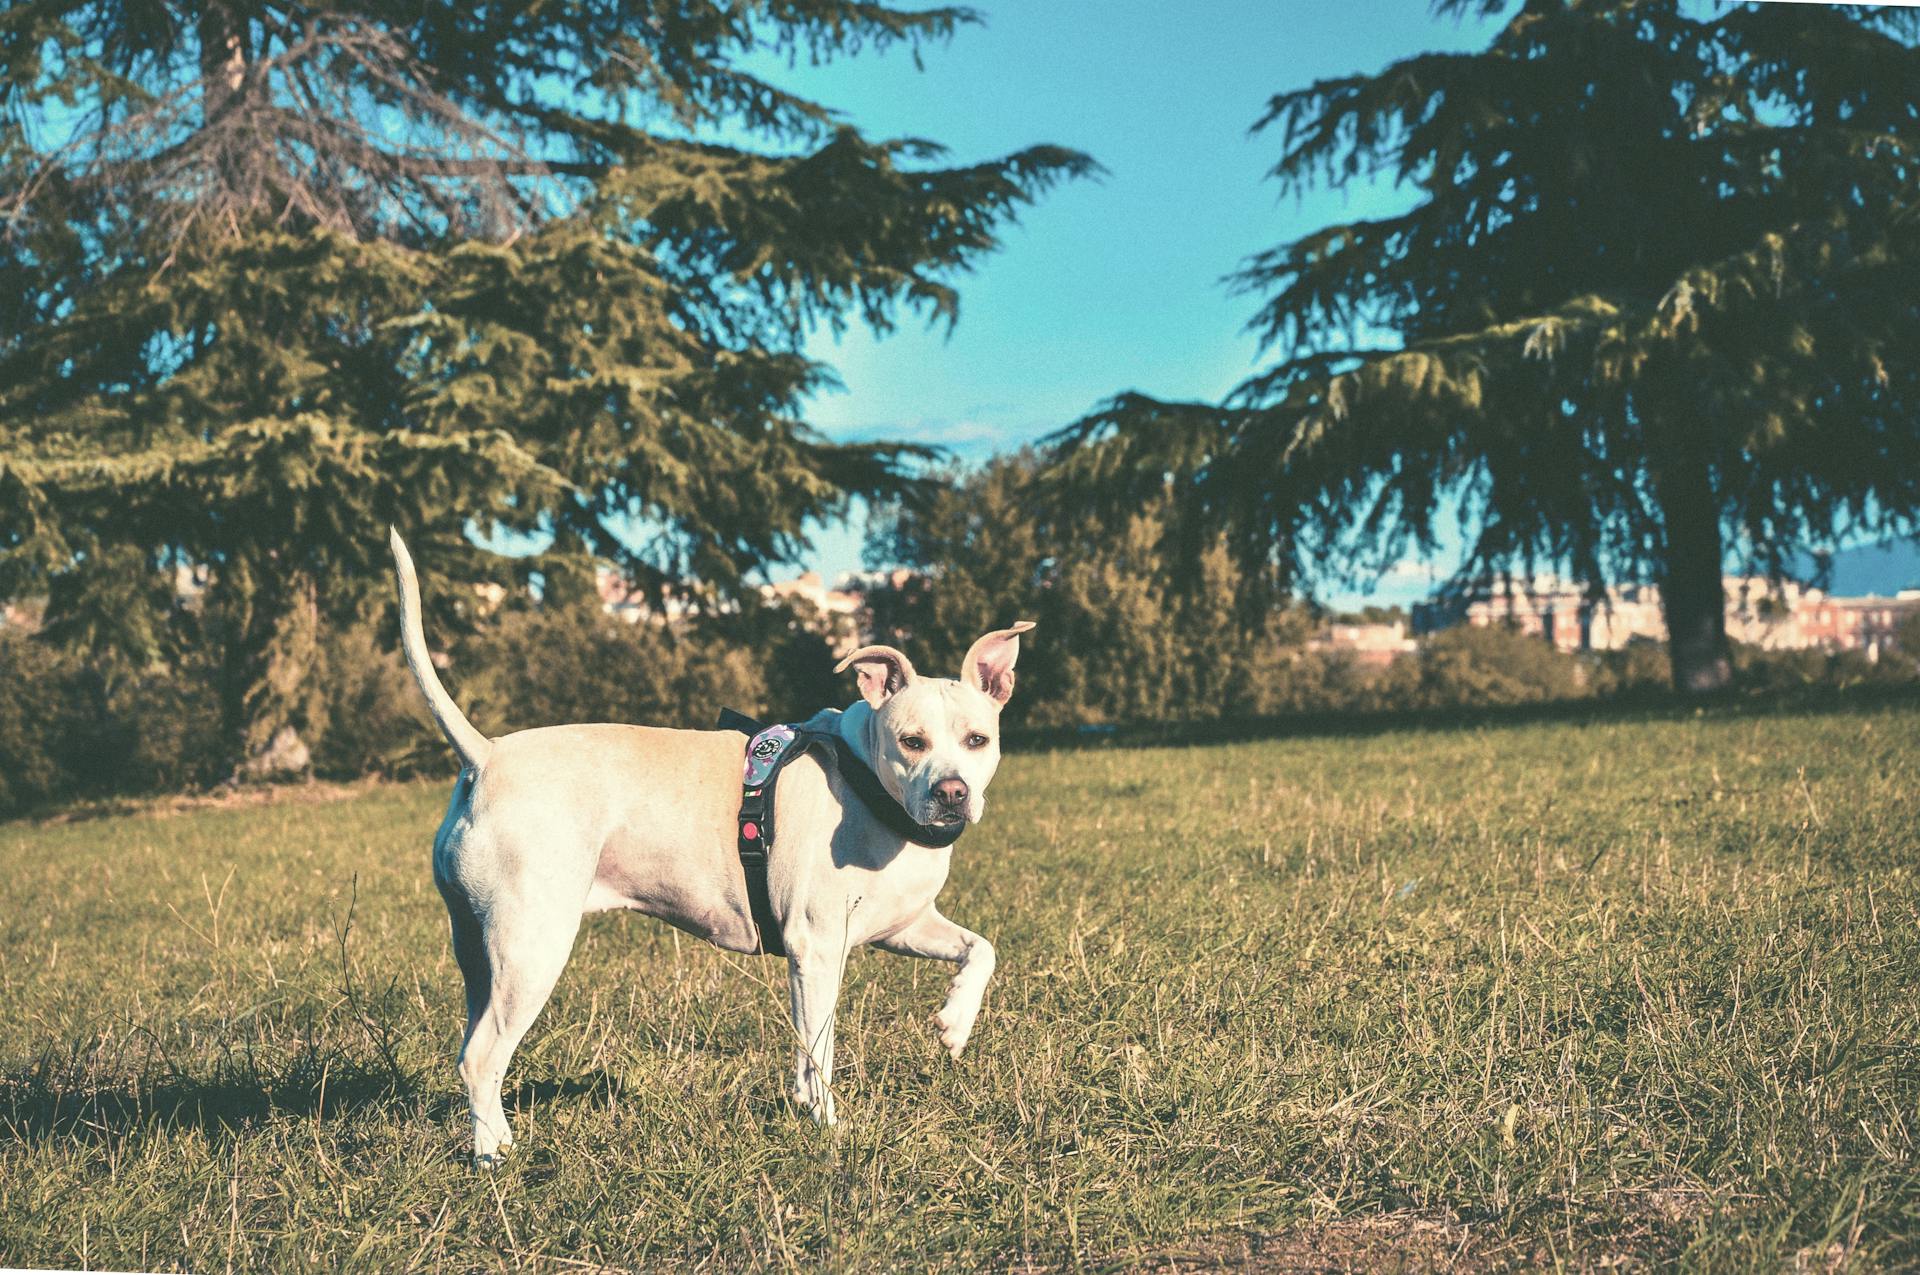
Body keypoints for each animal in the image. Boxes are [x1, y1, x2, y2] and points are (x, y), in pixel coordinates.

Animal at [389, 526, 1036, 1167]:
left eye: (977, 740)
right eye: (912, 741)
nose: (952, 793)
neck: (866, 779)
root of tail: (487, 755)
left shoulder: (900, 926)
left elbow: (980, 950)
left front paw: (954, 1022)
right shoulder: (816, 947)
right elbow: (820, 1053)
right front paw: (830, 1130)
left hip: (480, 954)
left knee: (473, 1044)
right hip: (532, 948)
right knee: (482, 1058)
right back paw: (495, 1158)